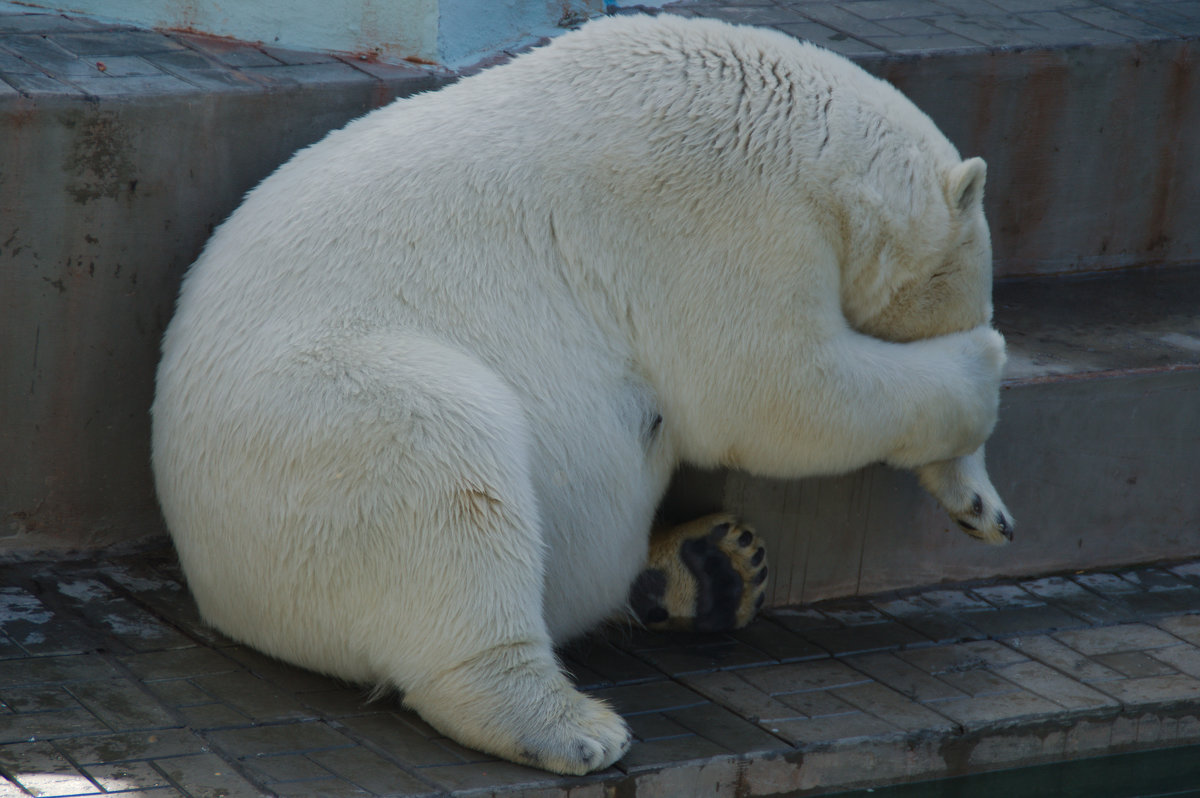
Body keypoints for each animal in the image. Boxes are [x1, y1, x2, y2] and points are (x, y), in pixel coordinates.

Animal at [150, 10, 1012, 772]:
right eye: (978, 296)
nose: (985, 509)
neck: (797, 127)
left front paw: (979, 503)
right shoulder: (721, 213)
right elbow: (783, 390)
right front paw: (982, 371)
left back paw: (711, 567)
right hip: (306, 424)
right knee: (440, 457)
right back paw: (567, 724)